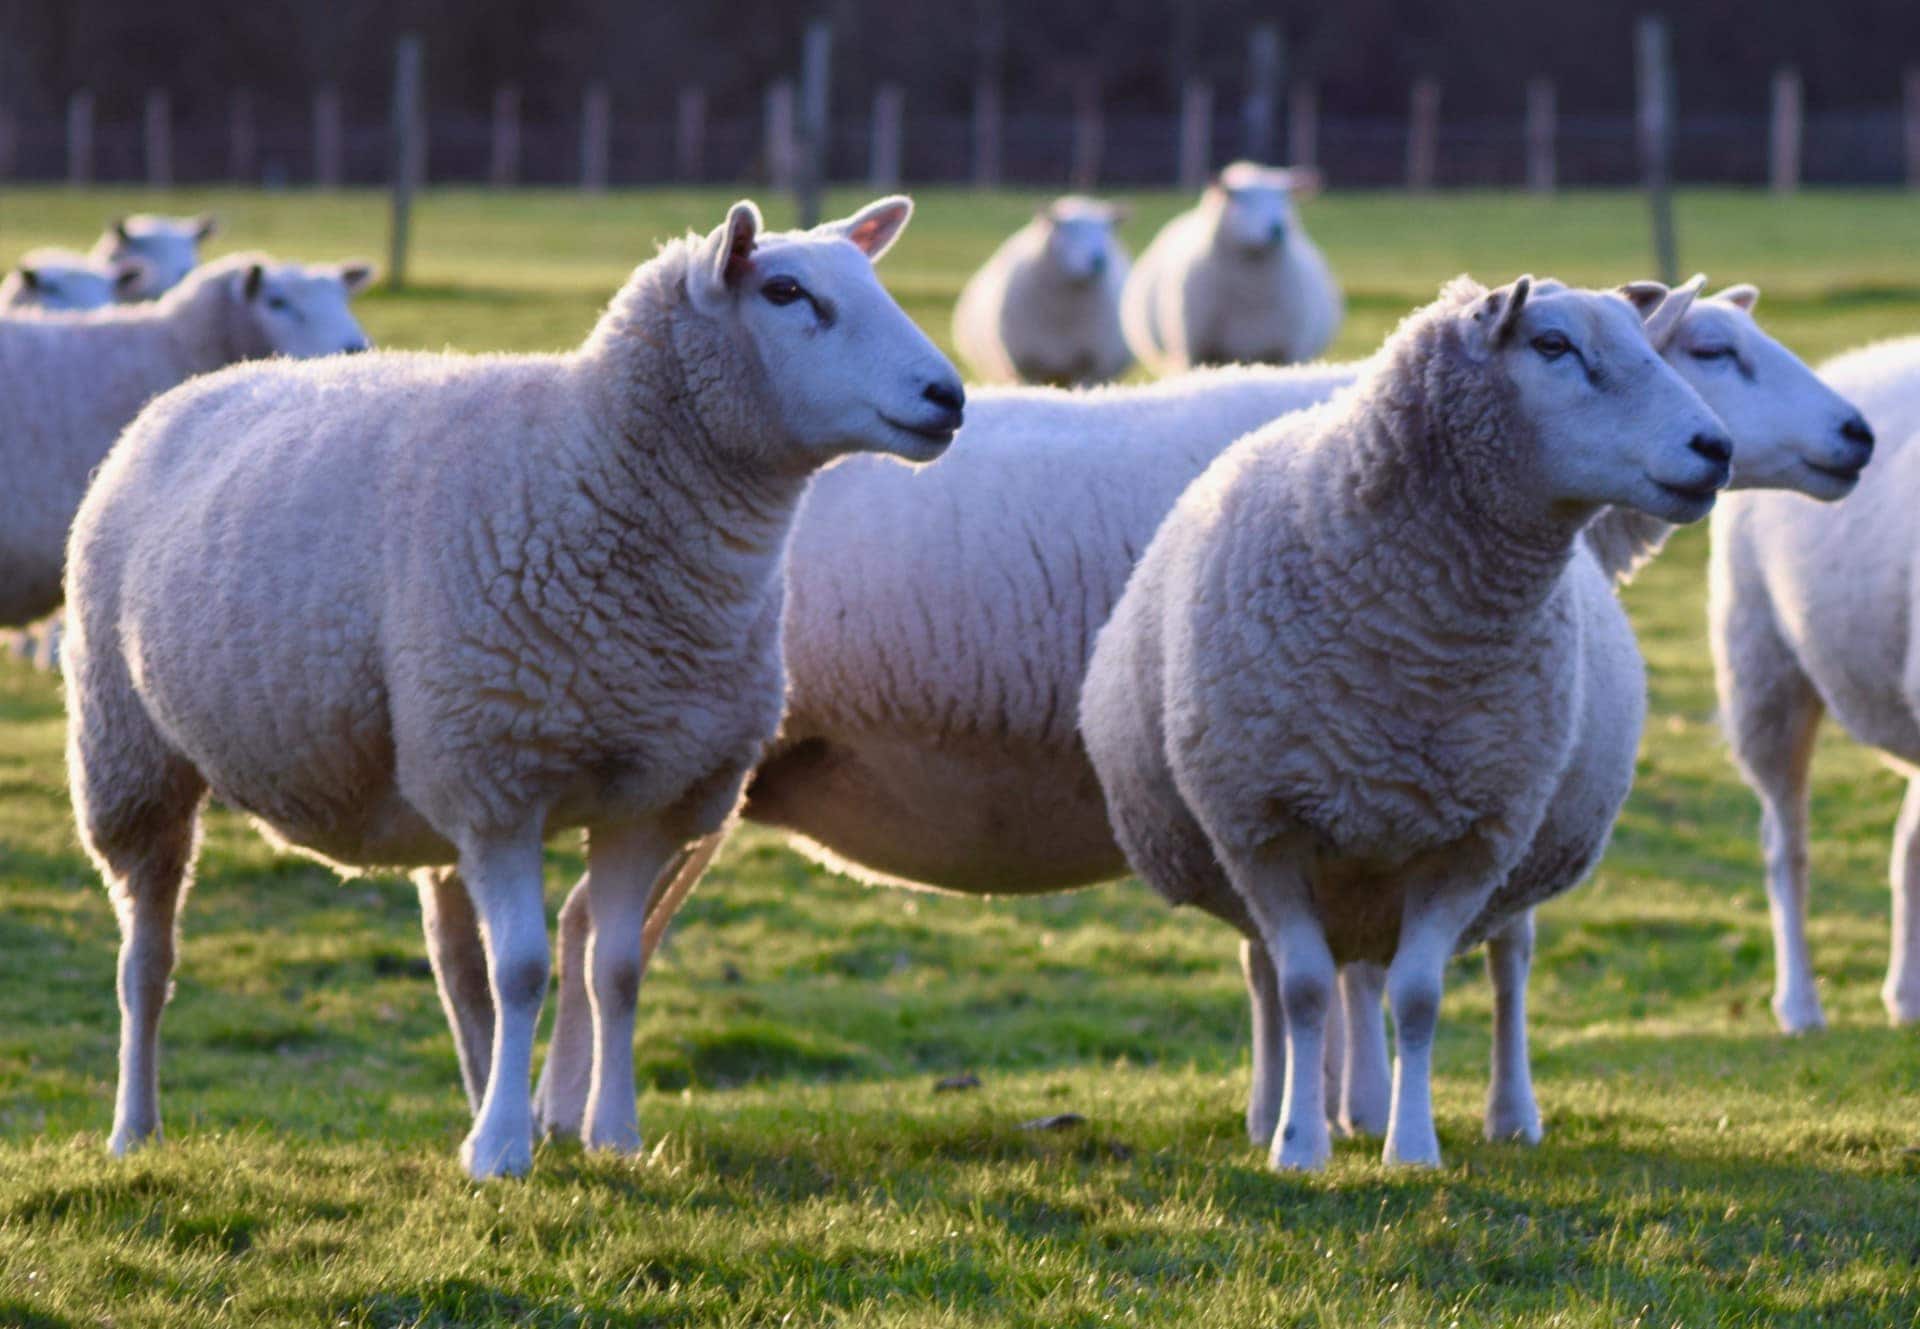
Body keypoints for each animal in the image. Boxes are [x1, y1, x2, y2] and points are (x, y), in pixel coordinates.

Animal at [62, 196, 965, 1180]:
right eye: (786, 291)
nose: (949, 396)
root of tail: (202, 386)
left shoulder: (655, 789)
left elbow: (616, 971)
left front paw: (615, 1137)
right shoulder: (497, 777)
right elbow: (527, 968)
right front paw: (501, 1152)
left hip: (417, 779)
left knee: (456, 968)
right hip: (130, 755)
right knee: (146, 961)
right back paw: (133, 1127)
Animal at [952, 197, 1132, 385]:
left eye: (1108, 229)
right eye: (1064, 228)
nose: (1098, 260)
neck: (1063, 314)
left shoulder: (1090, 370)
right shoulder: (1027, 370)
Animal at [1079, 275, 1733, 1169]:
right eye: (1553, 346)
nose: (1717, 446)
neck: (1414, 652)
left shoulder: (1475, 839)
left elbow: (1419, 997)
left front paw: (1412, 1146)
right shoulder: (1262, 829)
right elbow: (1302, 988)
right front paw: (1296, 1144)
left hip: (1495, 856)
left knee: (1504, 968)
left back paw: (1503, 1112)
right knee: (1276, 974)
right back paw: (1278, 1107)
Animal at [1120, 162, 1341, 374]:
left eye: (1285, 196)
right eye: (1238, 197)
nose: (1278, 228)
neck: (1251, 292)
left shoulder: (1291, 352)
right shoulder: (1193, 351)